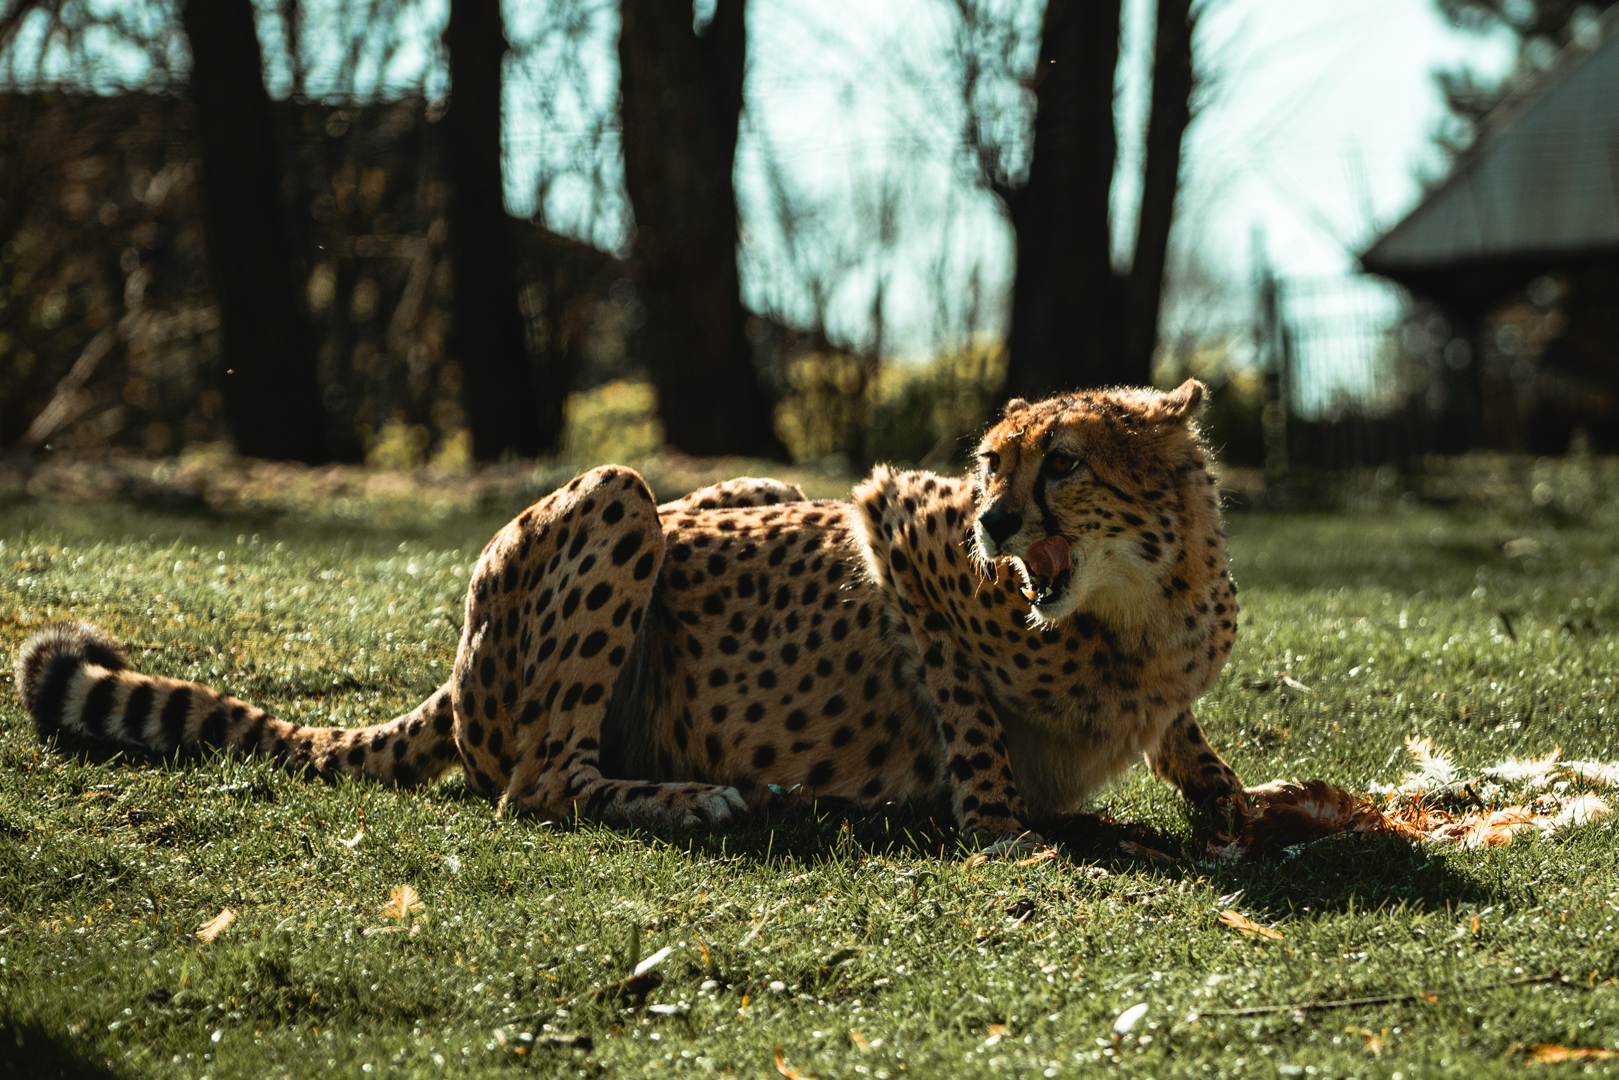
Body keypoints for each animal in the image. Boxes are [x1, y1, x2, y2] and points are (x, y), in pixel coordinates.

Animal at [14, 380, 1243, 847]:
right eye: (990, 465)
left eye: (1064, 463)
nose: (993, 522)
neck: (1143, 603)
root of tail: (454, 676)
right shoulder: (896, 526)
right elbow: (970, 715)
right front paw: (1004, 828)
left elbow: (1186, 739)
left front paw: (1231, 799)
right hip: (617, 500)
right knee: (533, 785)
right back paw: (698, 798)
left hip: (744, 486)